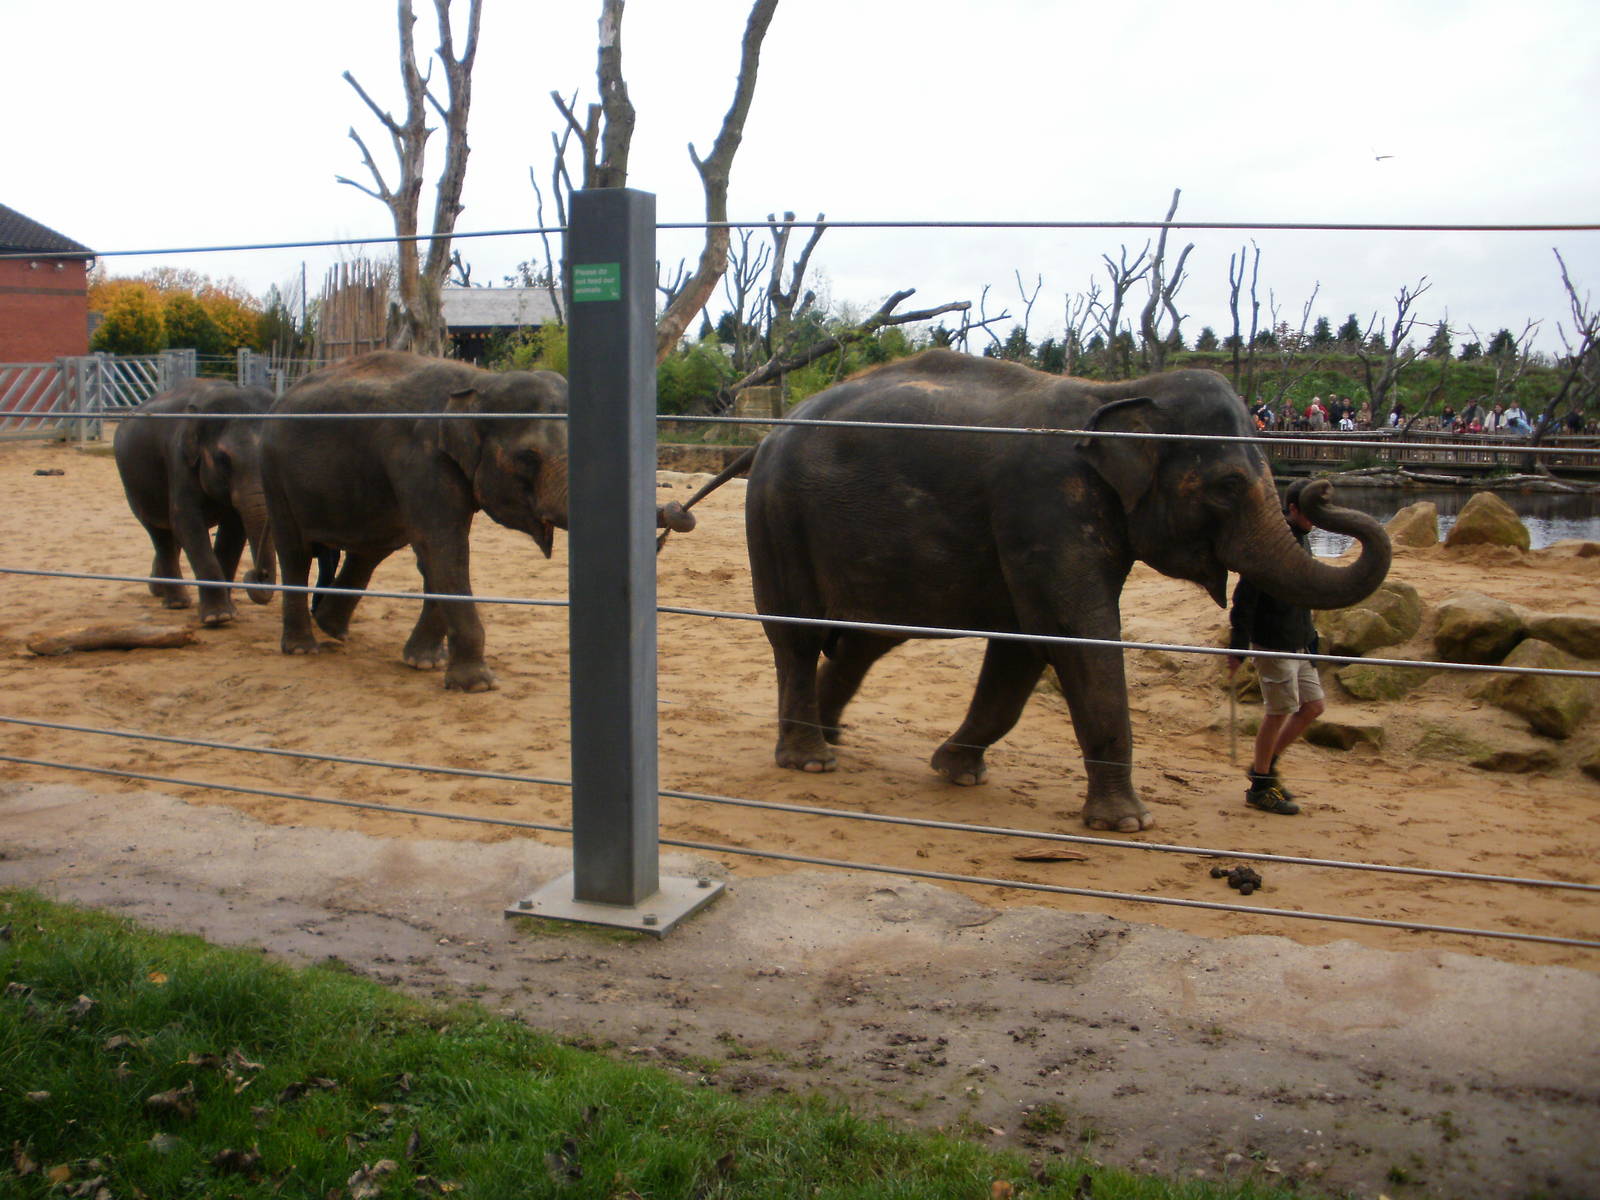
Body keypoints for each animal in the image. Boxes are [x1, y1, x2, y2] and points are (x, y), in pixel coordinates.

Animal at [113, 378, 278, 626]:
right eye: (222, 459)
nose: (259, 575)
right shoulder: (179, 460)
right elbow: (186, 522)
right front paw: (217, 617)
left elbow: (233, 532)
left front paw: (229, 611)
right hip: (136, 489)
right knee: (161, 534)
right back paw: (176, 602)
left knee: (171, 536)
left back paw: (158, 590)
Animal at [260, 351, 695, 693]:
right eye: (527, 458)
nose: (680, 510)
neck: (478, 384)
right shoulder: (422, 460)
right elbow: (444, 547)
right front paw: (476, 684)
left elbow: (439, 555)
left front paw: (425, 662)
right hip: (273, 471)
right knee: (295, 551)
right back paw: (303, 647)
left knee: (372, 548)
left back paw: (333, 629)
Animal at [679, 349, 1391, 832]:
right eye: (1227, 486)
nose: (1319, 487)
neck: (1119, 395)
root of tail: (767, 435)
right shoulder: (1046, 504)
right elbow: (1076, 636)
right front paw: (1127, 824)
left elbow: (1025, 646)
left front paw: (956, 771)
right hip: (777, 518)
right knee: (800, 637)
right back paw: (809, 761)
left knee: (863, 642)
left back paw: (834, 739)